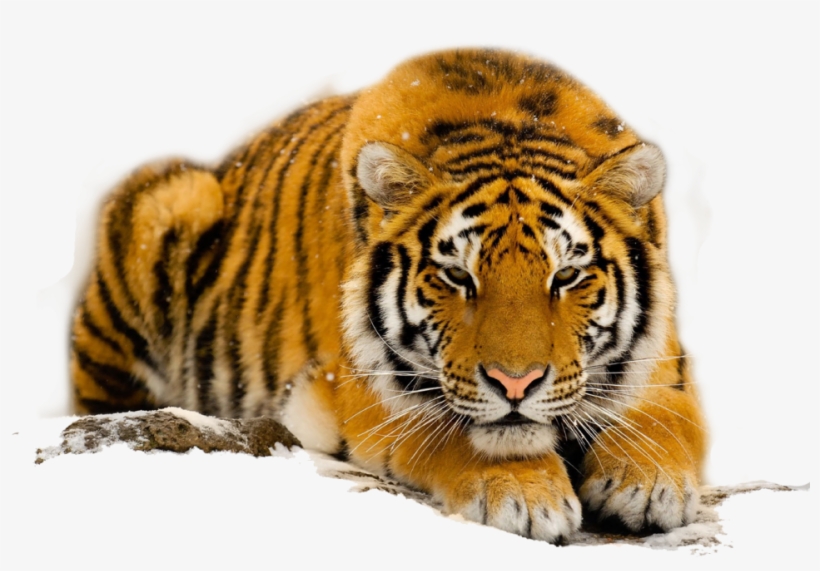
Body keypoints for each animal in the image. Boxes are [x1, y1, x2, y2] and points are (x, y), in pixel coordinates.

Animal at [70, 48, 706, 542]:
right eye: (458, 277)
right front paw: (524, 495)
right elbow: (453, 429)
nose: (516, 383)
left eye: (566, 276)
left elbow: (665, 419)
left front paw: (648, 484)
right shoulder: (361, 388)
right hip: (170, 200)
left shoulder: (666, 364)